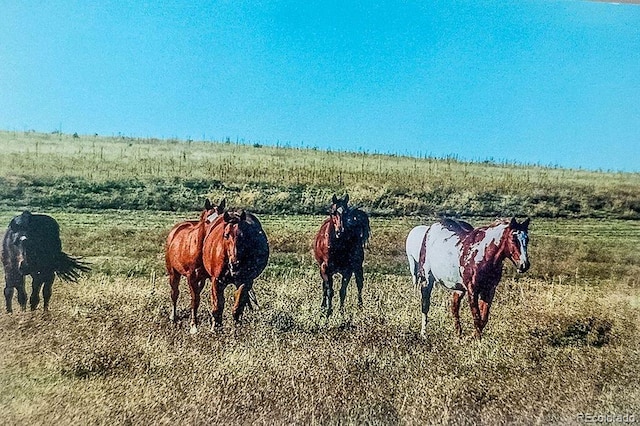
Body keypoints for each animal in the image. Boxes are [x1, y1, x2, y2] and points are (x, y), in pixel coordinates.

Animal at [165, 198, 225, 334]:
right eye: (207, 220)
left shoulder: (212, 278)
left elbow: (214, 300)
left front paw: (215, 326)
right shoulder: (191, 277)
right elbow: (194, 300)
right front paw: (193, 326)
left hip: (200, 280)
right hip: (173, 273)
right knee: (174, 293)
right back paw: (173, 317)